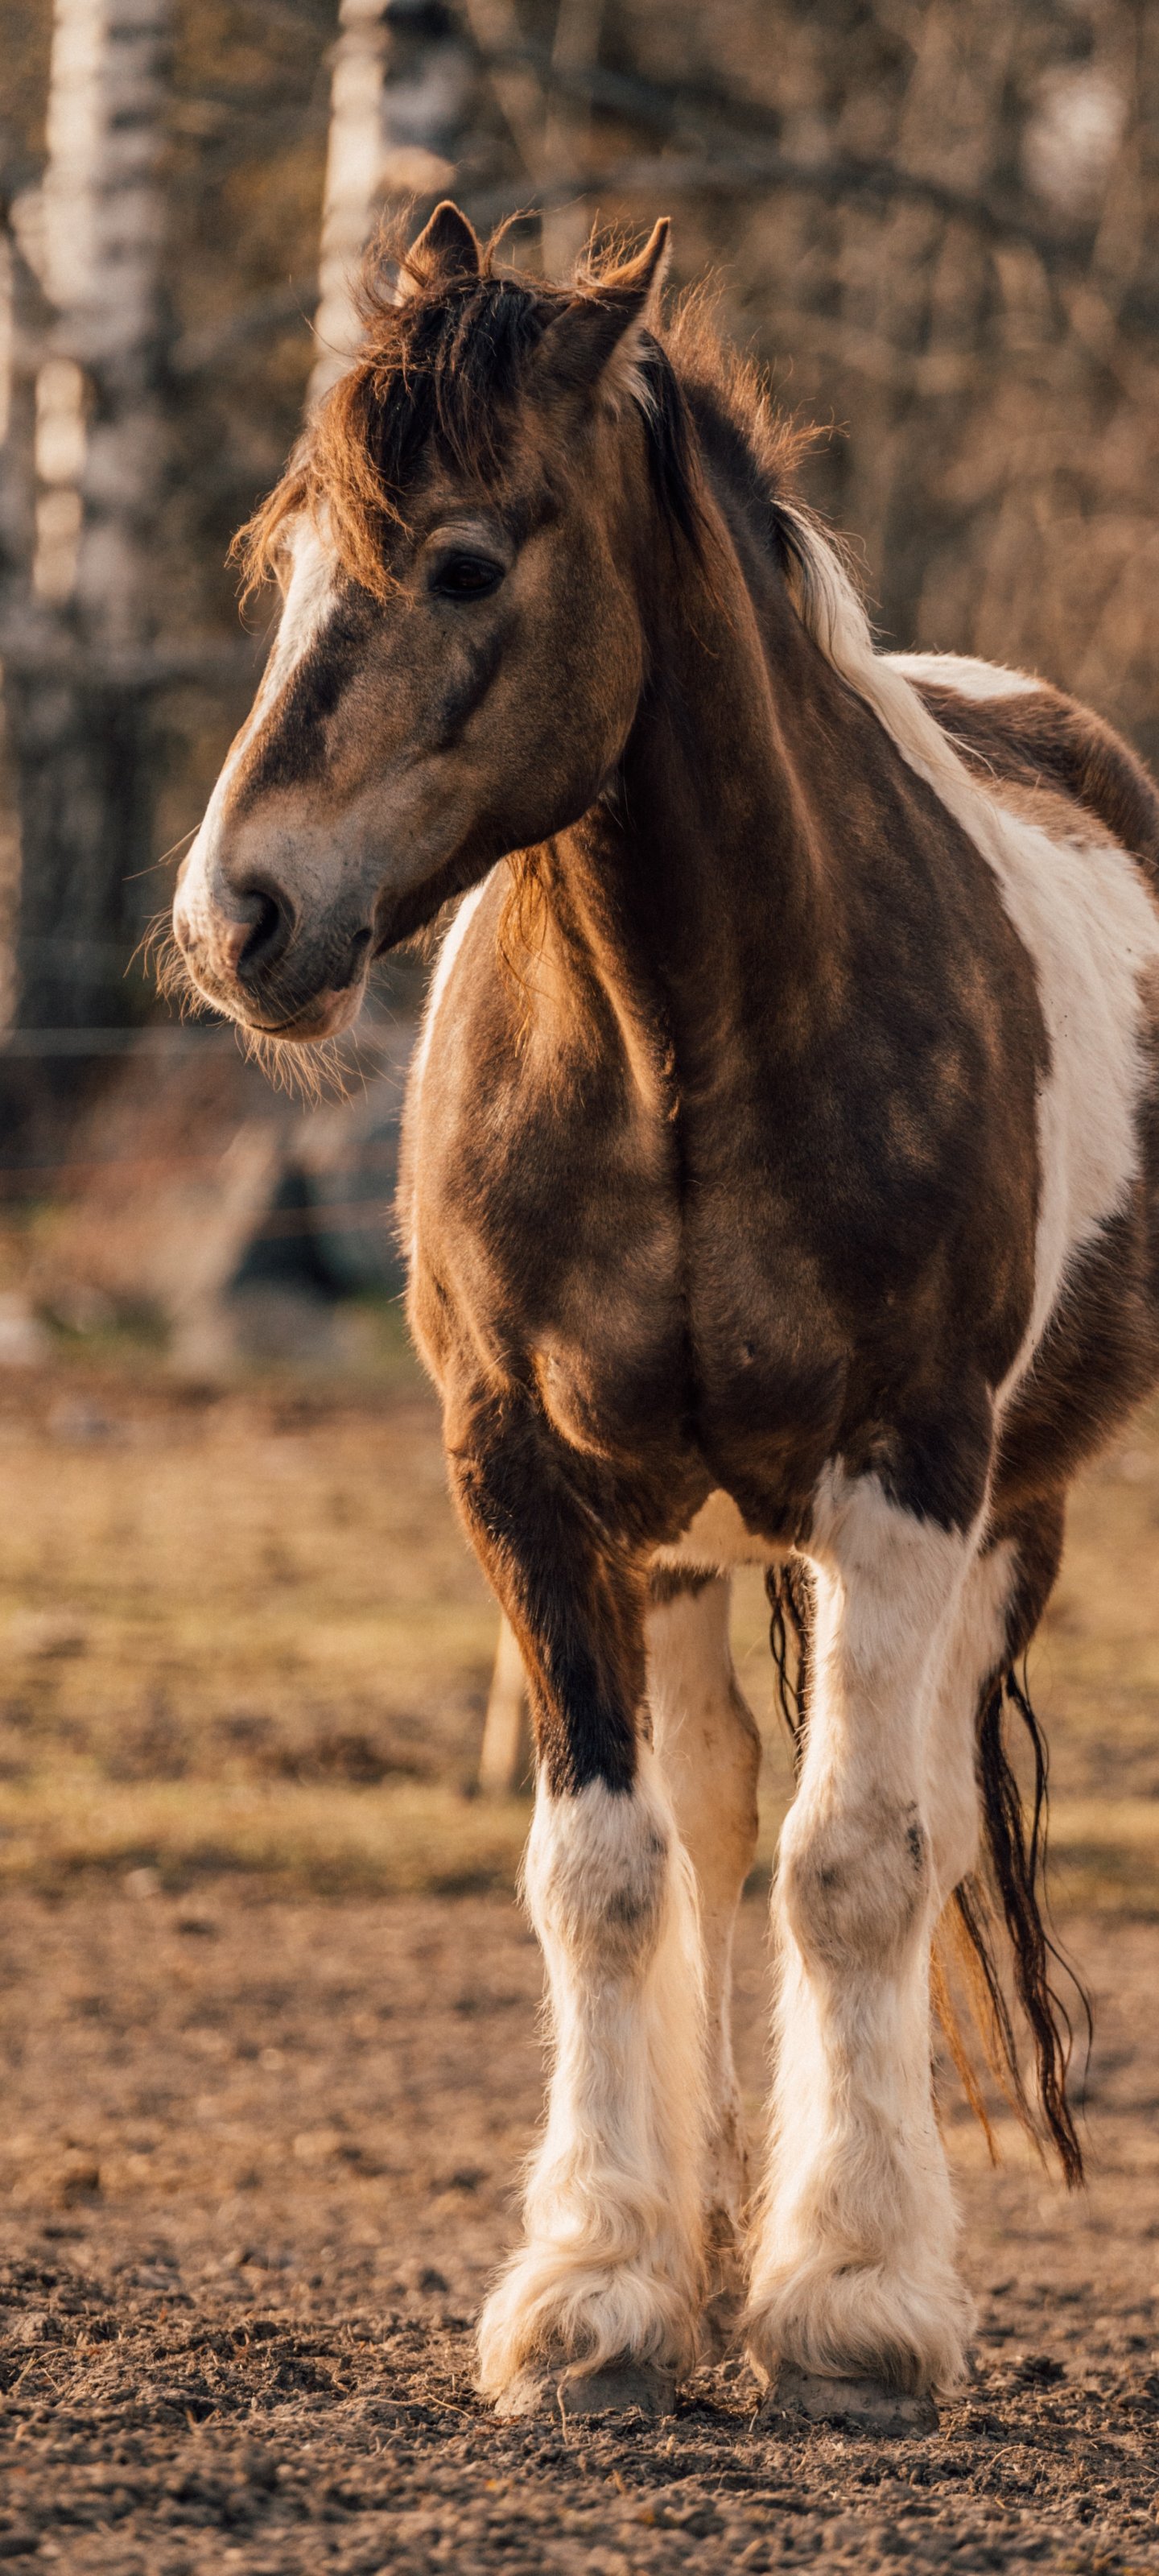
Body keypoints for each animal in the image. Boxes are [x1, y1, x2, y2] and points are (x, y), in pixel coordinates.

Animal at [171, 203, 1159, 2432]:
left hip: (990, 1521)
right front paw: (599, 2289)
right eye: (288, 557)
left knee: (888, 1832)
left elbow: (857, 1861)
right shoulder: (526, 1485)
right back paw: (702, 2247)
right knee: (707, 1841)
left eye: (463, 561)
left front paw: (856, 2299)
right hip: (690, 1546)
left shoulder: (904, 1472)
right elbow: (604, 1875)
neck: (676, 1036)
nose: (234, 918)